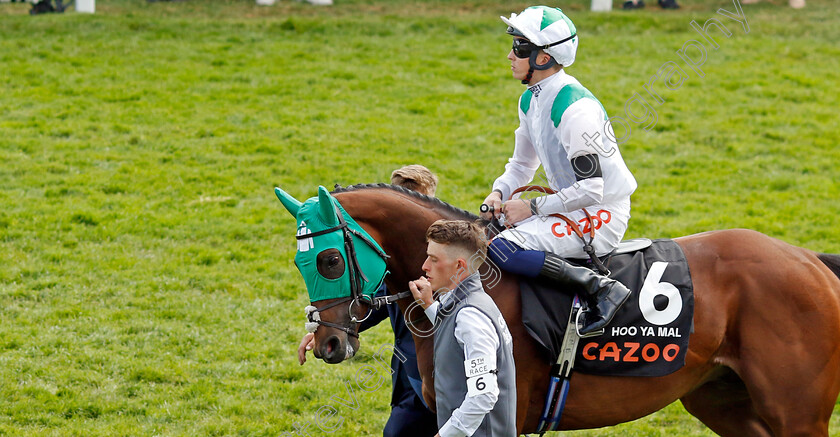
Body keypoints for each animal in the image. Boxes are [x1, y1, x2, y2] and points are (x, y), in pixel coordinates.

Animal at [278, 182, 840, 434]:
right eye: (299, 261)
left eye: (329, 259)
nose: (328, 342)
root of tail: (808, 259)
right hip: (720, 399)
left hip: (796, 414)